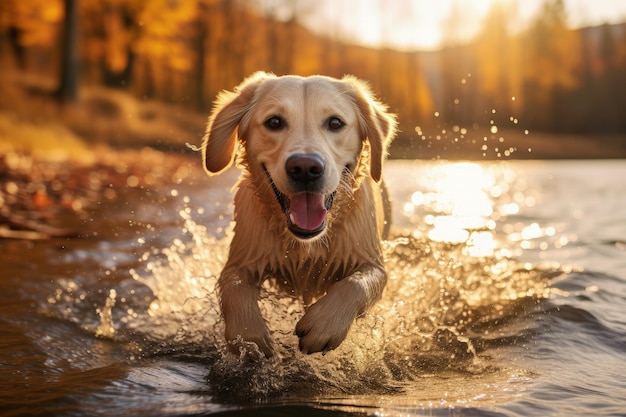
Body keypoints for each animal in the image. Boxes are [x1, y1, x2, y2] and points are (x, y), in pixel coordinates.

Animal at [201, 70, 394, 354]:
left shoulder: (371, 259)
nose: (305, 168)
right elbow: (233, 284)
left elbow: (359, 282)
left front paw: (325, 324)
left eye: (335, 123)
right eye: (274, 122)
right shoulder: (244, 255)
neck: (307, 243)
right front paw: (248, 335)